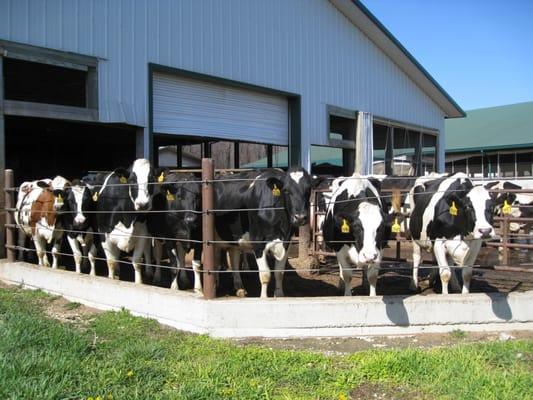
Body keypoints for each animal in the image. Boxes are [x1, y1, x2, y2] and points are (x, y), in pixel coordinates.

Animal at [212, 166, 312, 296]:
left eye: (308, 190)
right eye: (286, 190)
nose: (300, 217)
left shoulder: (287, 242)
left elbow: (279, 273)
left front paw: (279, 296)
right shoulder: (258, 242)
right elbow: (265, 275)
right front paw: (264, 297)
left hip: (234, 236)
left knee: (233, 258)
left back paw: (239, 288)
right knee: (215, 258)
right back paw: (215, 284)